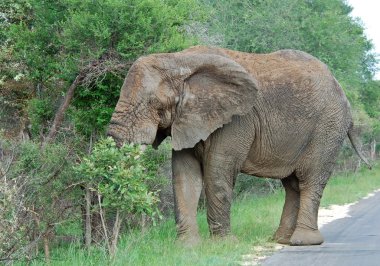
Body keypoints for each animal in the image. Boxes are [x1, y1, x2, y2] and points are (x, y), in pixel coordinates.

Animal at [107, 46, 372, 247]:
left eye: (154, 103)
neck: (178, 59)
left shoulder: (237, 120)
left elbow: (217, 172)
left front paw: (223, 245)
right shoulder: (188, 119)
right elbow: (184, 176)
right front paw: (187, 247)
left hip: (327, 128)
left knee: (310, 179)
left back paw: (303, 242)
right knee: (292, 185)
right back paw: (281, 240)